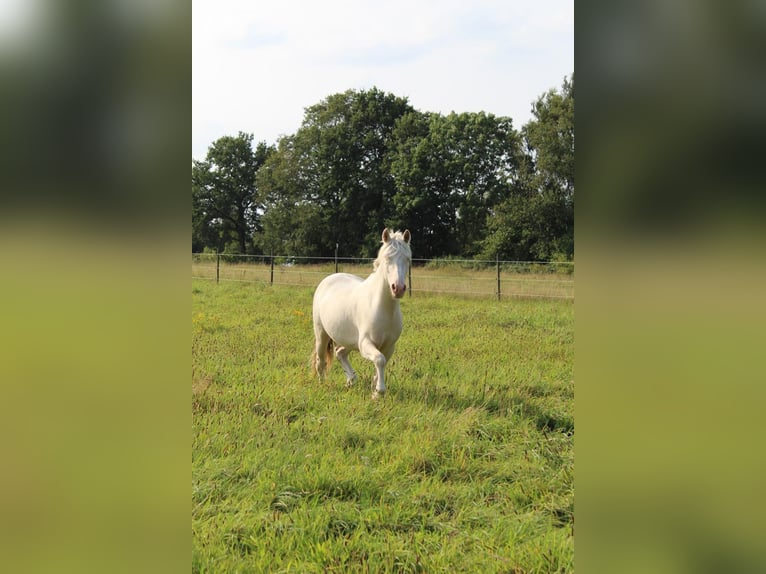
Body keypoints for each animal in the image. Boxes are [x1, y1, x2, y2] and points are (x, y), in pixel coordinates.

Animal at [314, 227, 414, 398]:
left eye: (407, 259)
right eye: (387, 258)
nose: (398, 288)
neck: (382, 308)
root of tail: (330, 278)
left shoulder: (389, 346)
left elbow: (381, 363)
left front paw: (375, 390)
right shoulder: (366, 343)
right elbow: (379, 360)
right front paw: (379, 392)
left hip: (350, 341)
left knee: (340, 353)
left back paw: (351, 380)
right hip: (322, 334)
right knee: (321, 360)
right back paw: (322, 384)